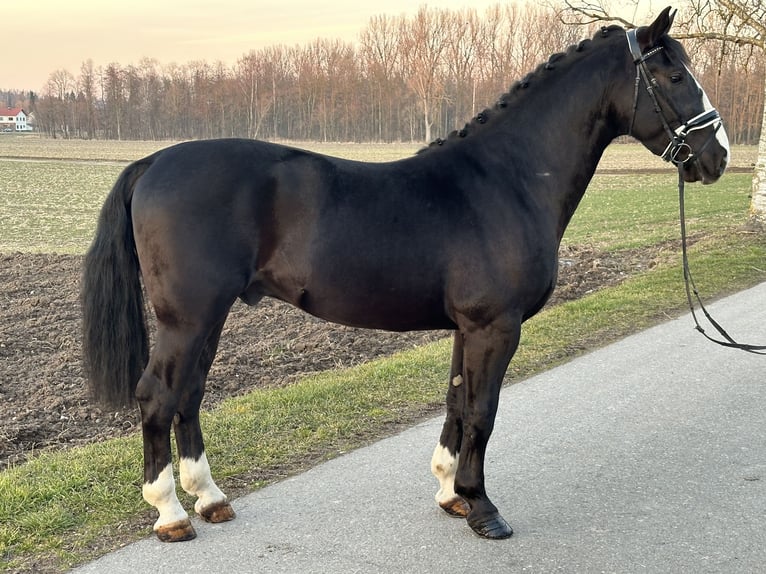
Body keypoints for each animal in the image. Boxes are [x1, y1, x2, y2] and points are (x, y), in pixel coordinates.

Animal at [82, 9, 732, 544]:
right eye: (675, 76)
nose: (718, 155)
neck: (507, 179)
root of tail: (153, 162)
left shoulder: (469, 328)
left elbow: (456, 404)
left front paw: (449, 493)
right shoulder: (495, 327)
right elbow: (483, 411)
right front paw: (483, 509)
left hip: (207, 319)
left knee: (188, 396)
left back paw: (210, 499)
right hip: (188, 317)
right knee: (157, 396)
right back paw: (170, 513)